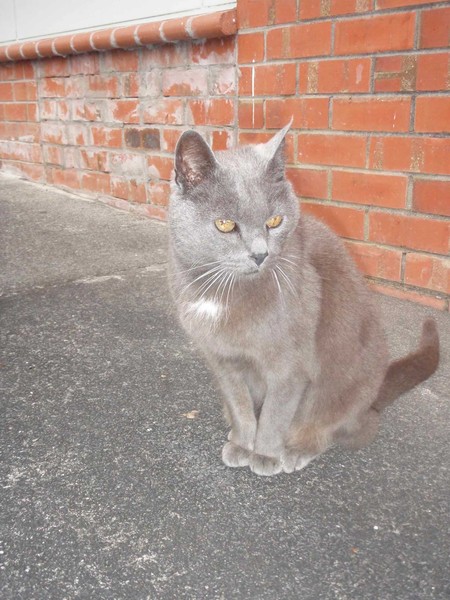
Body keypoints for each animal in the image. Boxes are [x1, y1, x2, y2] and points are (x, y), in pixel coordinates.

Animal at [168, 125, 440, 478]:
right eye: (225, 225)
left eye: (274, 222)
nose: (260, 254)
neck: (223, 291)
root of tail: (374, 395)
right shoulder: (221, 360)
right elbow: (240, 405)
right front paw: (242, 443)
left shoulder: (291, 365)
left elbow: (275, 413)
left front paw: (265, 454)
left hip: (340, 389)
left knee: (342, 428)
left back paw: (296, 450)